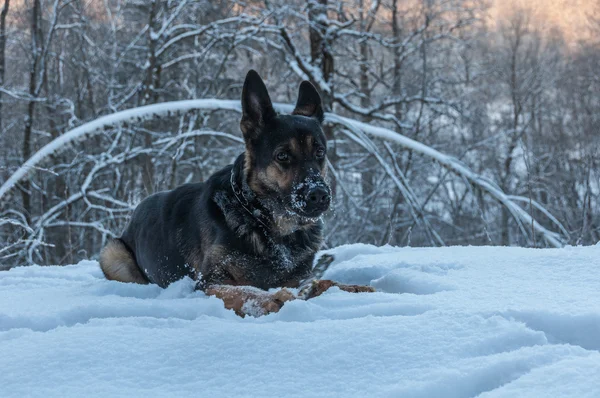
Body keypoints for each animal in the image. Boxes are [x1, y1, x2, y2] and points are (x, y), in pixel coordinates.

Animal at [101, 70, 372, 316]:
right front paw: (271, 299)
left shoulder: (300, 278)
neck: (266, 225)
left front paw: (356, 288)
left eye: (320, 153)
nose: (319, 195)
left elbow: (326, 282)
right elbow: (244, 291)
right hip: (111, 253)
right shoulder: (208, 283)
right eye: (282, 156)